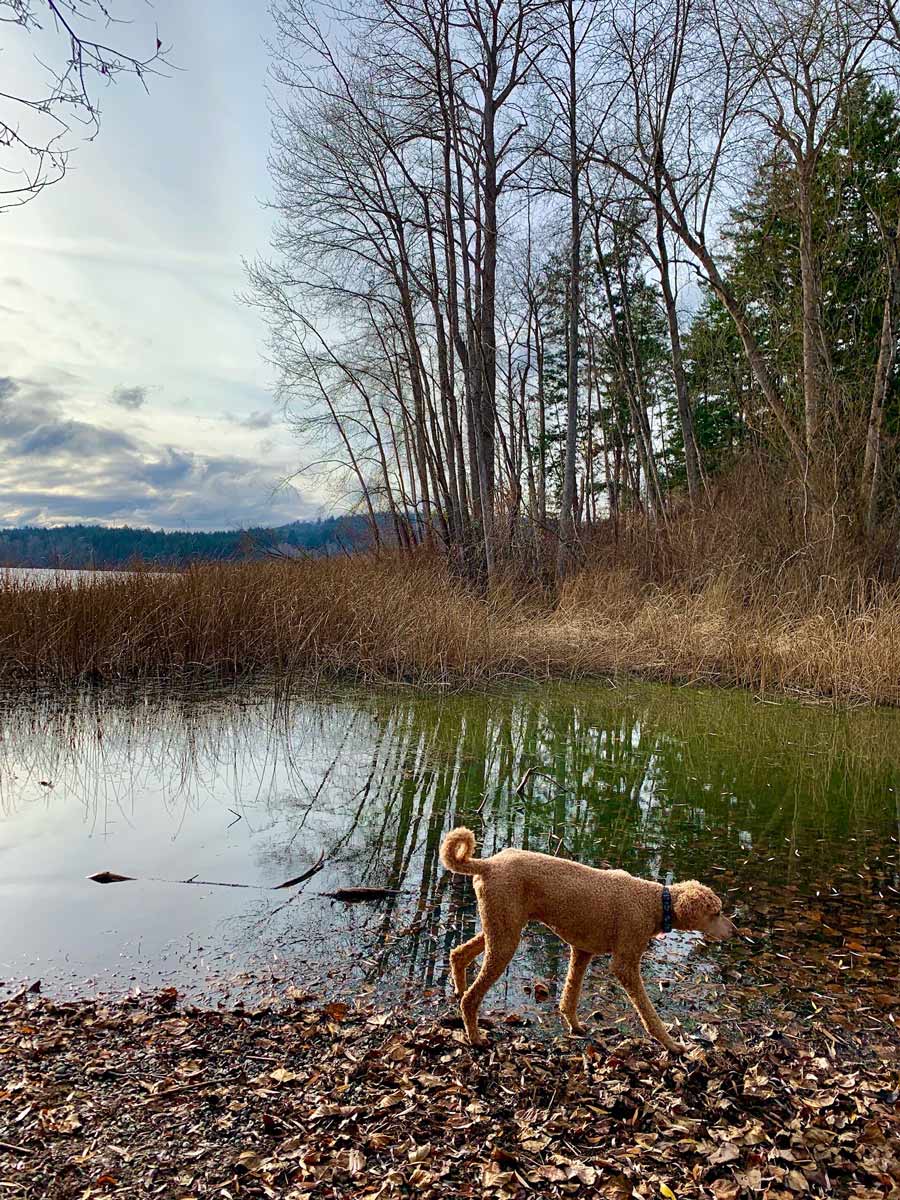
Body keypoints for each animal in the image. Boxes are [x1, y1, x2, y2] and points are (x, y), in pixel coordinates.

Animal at [441, 830, 734, 1056]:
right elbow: (647, 1011)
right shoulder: (625, 964)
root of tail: (487, 864)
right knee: (471, 998)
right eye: (717, 912)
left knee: (458, 954)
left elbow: (570, 996)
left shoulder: (582, 952)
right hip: (504, 938)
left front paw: (575, 1026)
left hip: (502, 928)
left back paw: (458, 988)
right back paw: (475, 1037)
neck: (654, 903)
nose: (734, 931)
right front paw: (671, 1044)